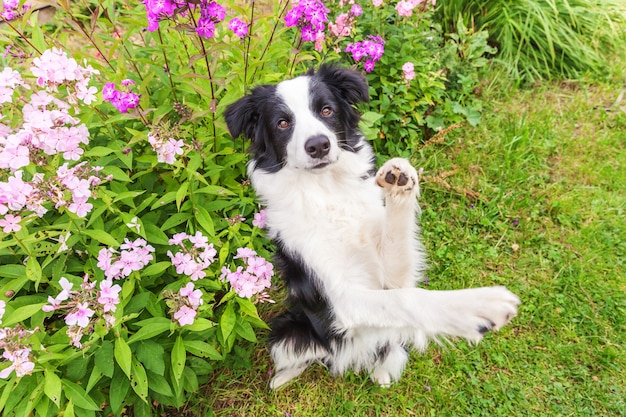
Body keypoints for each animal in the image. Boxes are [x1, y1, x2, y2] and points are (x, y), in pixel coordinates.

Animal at [224, 64, 516, 386]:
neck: (329, 195)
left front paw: (400, 183)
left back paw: (381, 375)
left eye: (326, 110)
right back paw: (283, 377)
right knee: (312, 354)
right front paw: (481, 306)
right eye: (283, 123)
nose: (318, 145)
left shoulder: (389, 275)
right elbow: (407, 298)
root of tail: (349, 358)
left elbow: (399, 265)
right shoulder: (343, 300)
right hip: (285, 331)